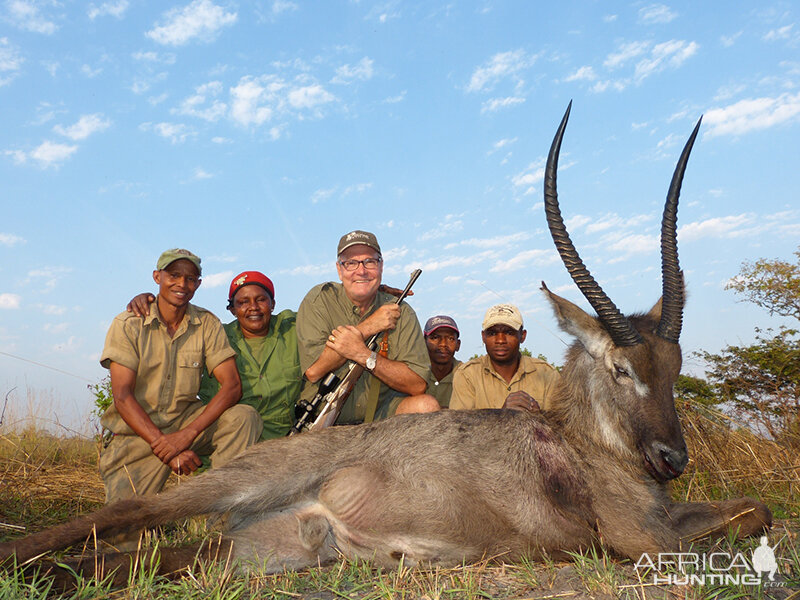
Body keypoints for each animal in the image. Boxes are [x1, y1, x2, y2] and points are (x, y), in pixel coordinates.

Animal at [1, 103, 776, 584]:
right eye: (620, 367)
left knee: (146, 558)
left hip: (270, 546)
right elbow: (745, 514)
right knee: (124, 515)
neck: (585, 446)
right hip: (232, 485)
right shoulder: (641, 538)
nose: (672, 459)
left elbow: (756, 508)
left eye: (673, 365)